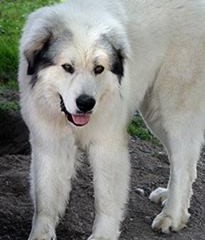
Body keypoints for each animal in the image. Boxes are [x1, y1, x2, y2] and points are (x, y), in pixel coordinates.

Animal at [18, 0, 205, 240]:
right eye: (68, 67)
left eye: (99, 69)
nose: (86, 103)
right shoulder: (49, 143)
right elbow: (45, 198)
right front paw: (40, 234)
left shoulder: (107, 145)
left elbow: (106, 199)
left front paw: (103, 235)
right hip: (155, 114)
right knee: (183, 160)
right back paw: (170, 200)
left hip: (173, 107)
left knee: (183, 163)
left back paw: (172, 216)